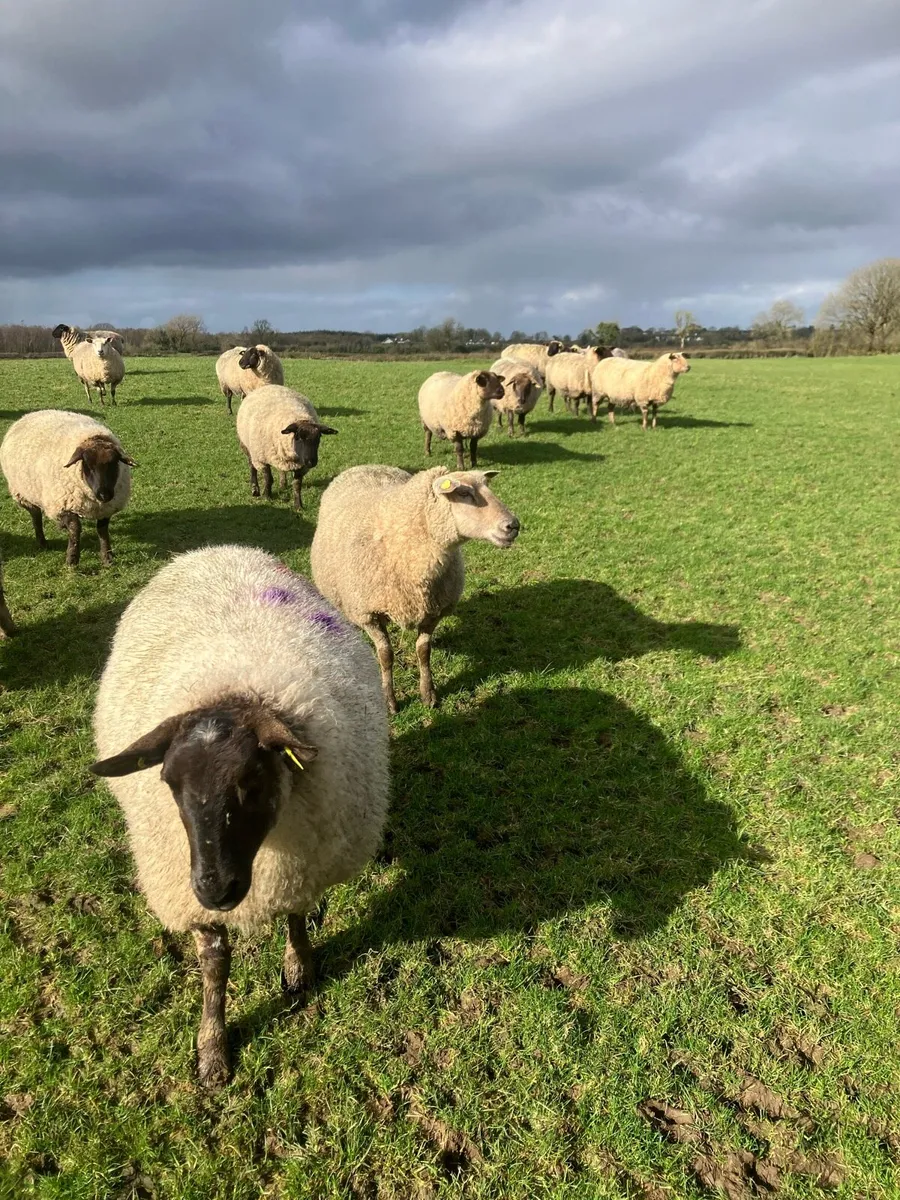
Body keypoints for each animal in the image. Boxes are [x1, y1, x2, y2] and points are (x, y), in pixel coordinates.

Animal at [0, 410, 135, 566]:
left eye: (114, 463)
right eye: (87, 465)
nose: (104, 495)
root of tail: (29, 414)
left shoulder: (106, 509)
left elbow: (102, 530)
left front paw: (107, 557)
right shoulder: (62, 505)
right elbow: (75, 528)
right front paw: (72, 559)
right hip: (24, 493)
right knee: (36, 516)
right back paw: (42, 542)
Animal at [89, 544, 389, 1087]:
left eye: (251, 782)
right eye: (170, 784)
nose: (215, 888)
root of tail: (214, 550)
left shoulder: (301, 863)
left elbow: (295, 917)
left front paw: (299, 969)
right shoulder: (189, 894)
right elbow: (215, 965)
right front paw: (212, 1051)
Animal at [310, 464, 520, 713]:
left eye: (488, 487)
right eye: (463, 493)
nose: (513, 525)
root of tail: (368, 466)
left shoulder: (434, 611)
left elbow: (423, 651)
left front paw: (428, 694)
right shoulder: (369, 614)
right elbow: (386, 655)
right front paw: (390, 701)